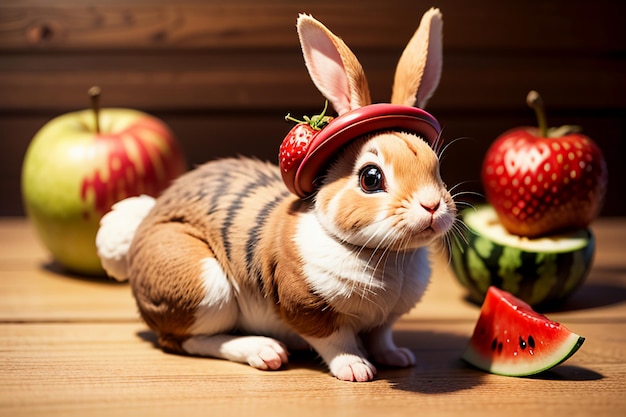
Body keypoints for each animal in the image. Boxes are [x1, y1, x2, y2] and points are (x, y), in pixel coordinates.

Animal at [96, 8, 454, 382]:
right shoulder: (305, 306)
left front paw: (396, 357)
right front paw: (356, 369)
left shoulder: (384, 321)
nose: (432, 206)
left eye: (437, 168)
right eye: (371, 178)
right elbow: (336, 340)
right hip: (205, 289)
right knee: (184, 341)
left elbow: (382, 336)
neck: (383, 255)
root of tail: (139, 229)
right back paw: (264, 350)